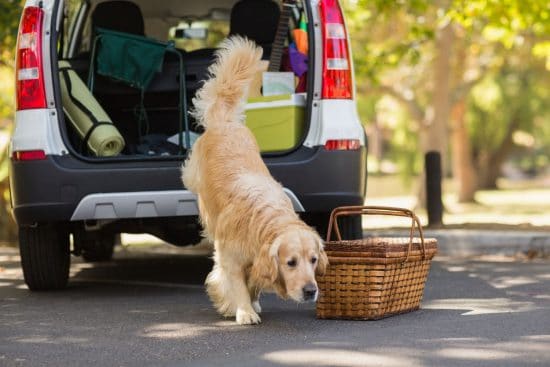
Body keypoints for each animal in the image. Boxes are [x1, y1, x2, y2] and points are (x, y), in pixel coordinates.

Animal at [182, 37, 328, 324]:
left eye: (314, 260)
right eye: (291, 262)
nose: (310, 291)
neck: (263, 221)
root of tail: (226, 121)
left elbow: (254, 281)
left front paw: (253, 302)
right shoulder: (229, 258)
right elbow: (235, 283)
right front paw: (243, 310)